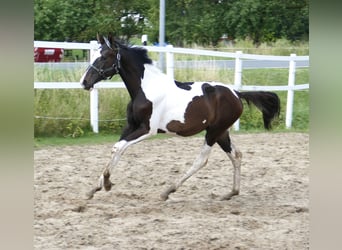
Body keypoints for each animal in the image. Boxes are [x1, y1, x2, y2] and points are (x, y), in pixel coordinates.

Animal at [81, 33, 280, 201]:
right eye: (93, 55)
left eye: (104, 57)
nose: (84, 82)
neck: (145, 88)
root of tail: (237, 94)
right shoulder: (131, 126)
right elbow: (117, 149)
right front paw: (94, 189)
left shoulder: (147, 130)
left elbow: (118, 148)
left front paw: (106, 183)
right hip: (221, 132)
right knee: (236, 155)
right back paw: (231, 193)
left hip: (214, 132)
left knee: (202, 160)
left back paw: (168, 191)